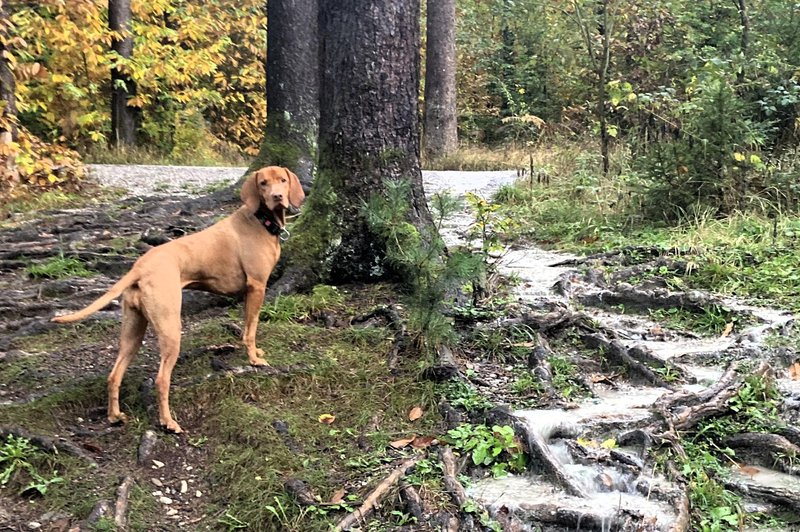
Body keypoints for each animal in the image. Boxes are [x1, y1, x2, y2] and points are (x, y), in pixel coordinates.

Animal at [51, 166, 304, 432]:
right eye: (263, 183)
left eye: (283, 181)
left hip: (133, 331)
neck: (260, 220)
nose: (277, 196)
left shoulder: (247, 293)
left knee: (114, 374)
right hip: (171, 329)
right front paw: (254, 359)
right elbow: (251, 329)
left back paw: (115, 415)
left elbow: (246, 327)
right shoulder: (257, 287)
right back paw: (168, 422)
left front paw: (255, 352)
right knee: (161, 379)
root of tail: (140, 267)